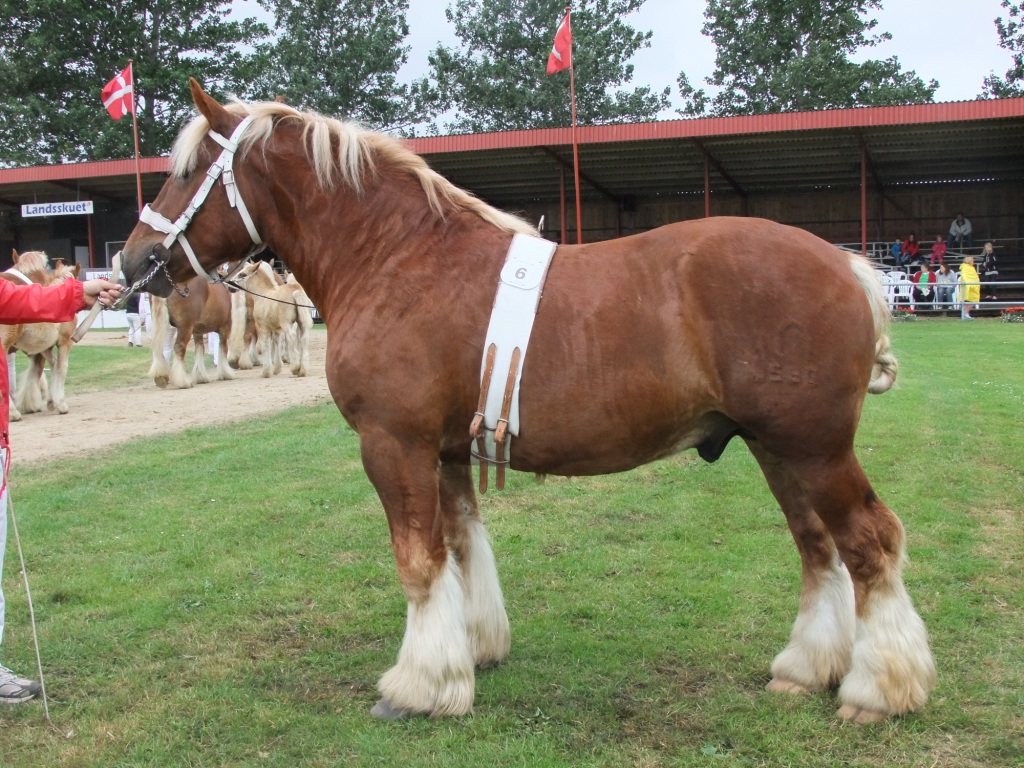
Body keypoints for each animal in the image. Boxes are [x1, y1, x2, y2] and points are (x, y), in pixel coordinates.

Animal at [119, 83, 937, 729]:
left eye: (185, 171)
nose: (132, 263)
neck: (396, 259)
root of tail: (852, 266)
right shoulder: (446, 451)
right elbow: (461, 548)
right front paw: (471, 654)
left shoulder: (393, 444)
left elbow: (418, 562)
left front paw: (417, 686)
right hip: (776, 448)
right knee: (819, 548)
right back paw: (805, 670)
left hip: (812, 448)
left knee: (870, 543)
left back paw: (877, 690)